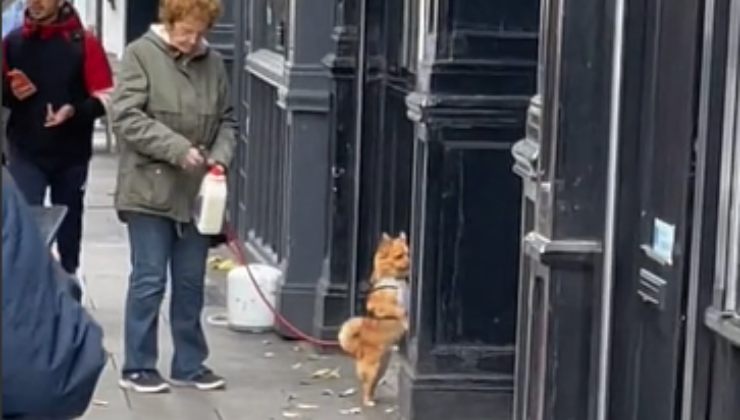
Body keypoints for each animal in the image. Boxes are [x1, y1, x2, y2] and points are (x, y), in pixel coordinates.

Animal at [340, 233, 414, 406]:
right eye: (399, 256)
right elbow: (399, 311)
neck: (395, 280)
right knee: (367, 385)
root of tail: (357, 349)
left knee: (372, 384)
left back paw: (373, 397)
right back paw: (368, 401)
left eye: (408, 253)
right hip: (372, 368)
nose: (411, 262)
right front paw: (405, 321)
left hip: (381, 369)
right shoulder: (383, 306)